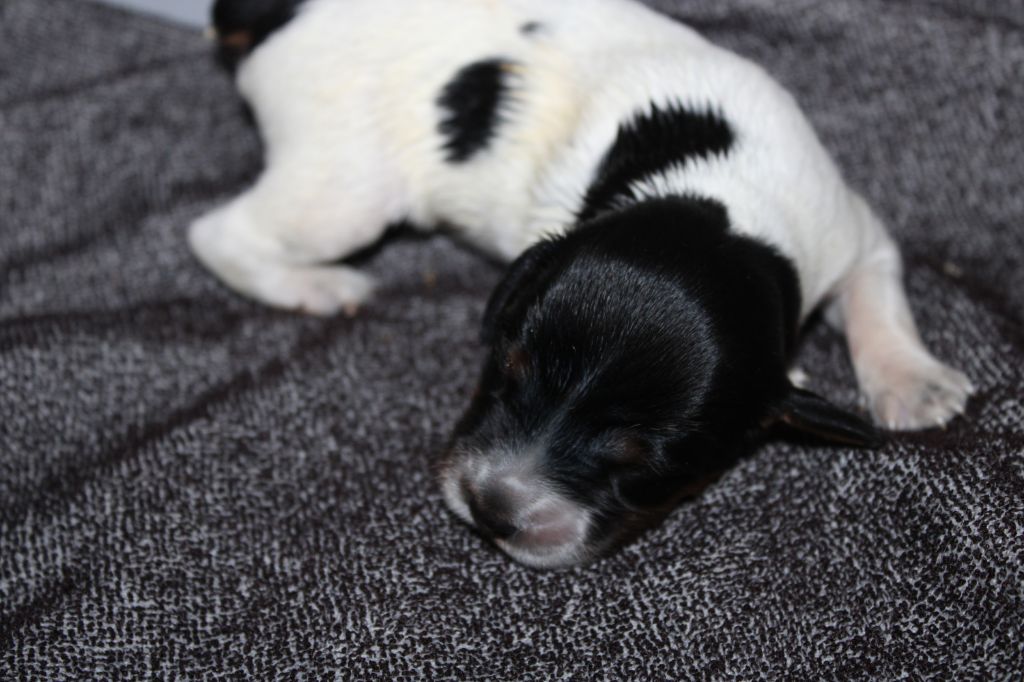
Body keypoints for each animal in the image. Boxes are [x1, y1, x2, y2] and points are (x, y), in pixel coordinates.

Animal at [193, 0, 975, 569]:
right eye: (502, 374)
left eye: (642, 462)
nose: (491, 509)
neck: (718, 201)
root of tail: (280, 10)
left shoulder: (851, 232)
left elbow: (879, 296)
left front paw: (914, 381)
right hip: (343, 188)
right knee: (219, 234)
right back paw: (319, 287)